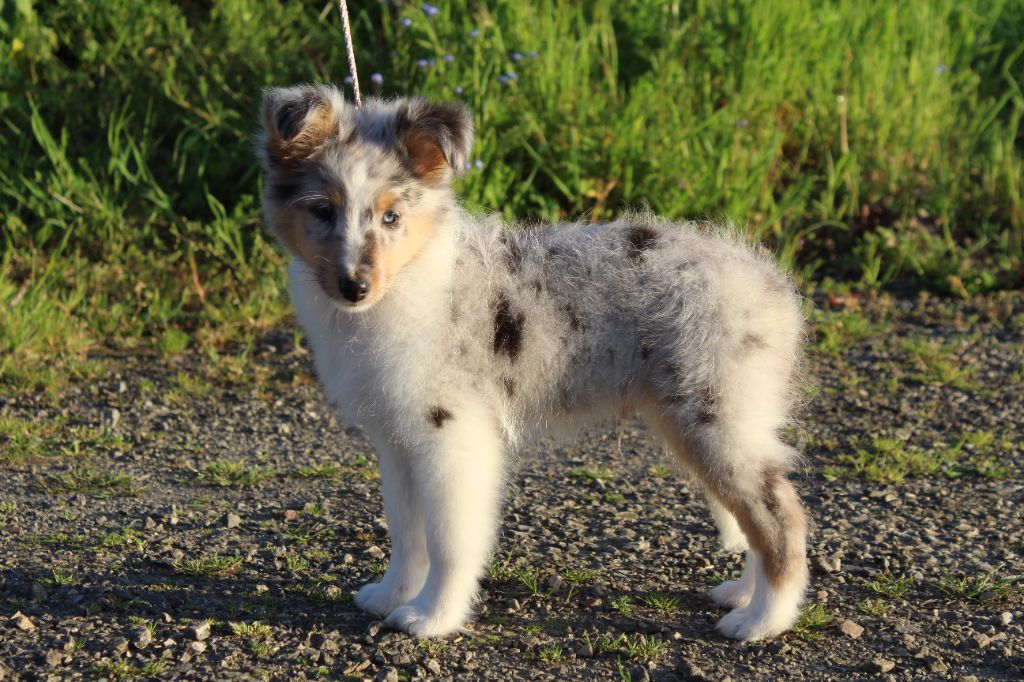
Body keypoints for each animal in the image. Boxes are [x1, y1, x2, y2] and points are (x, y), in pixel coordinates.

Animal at [260, 83, 811, 638]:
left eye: (392, 217)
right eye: (322, 211)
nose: (354, 287)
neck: (413, 279)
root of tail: (770, 287)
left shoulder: (450, 433)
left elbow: (449, 539)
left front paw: (433, 616)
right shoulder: (396, 438)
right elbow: (406, 532)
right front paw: (391, 595)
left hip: (715, 419)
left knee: (780, 516)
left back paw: (763, 619)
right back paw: (742, 594)